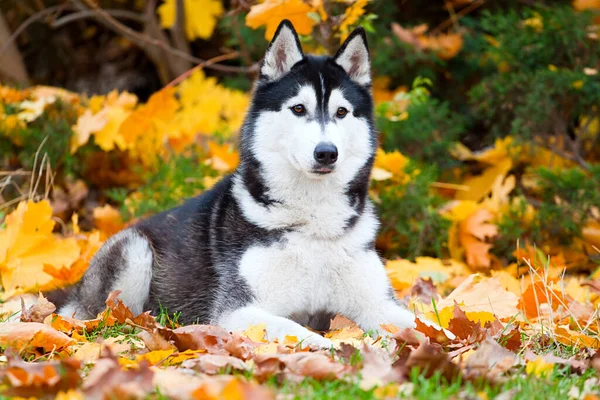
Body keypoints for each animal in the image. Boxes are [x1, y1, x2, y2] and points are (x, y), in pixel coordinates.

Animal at [61, 20, 418, 348]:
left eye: (342, 111)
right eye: (298, 108)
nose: (327, 152)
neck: (313, 220)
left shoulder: (379, 303)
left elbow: (418, 323)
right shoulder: (237, 311)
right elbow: (295, 329)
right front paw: (340, 347)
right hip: (134, 252)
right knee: (110, 317)